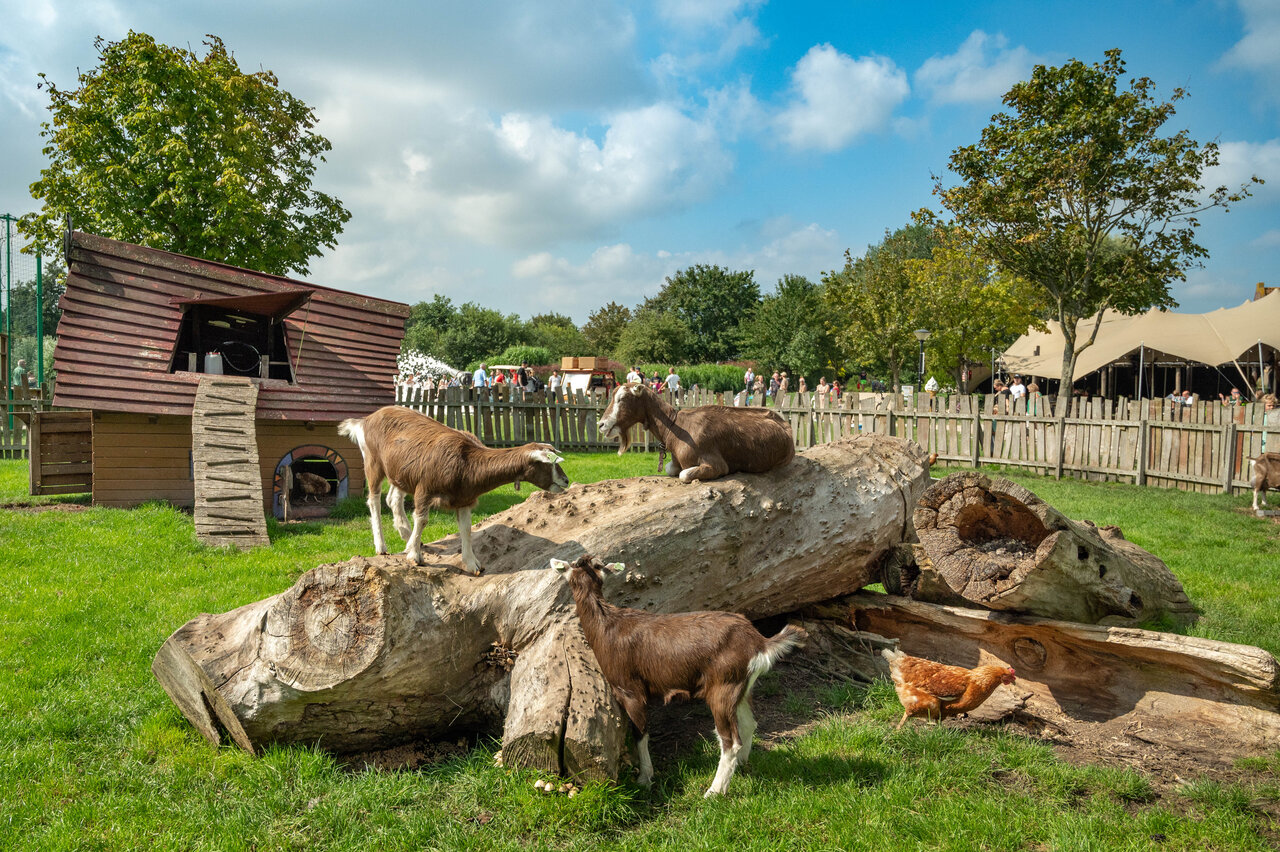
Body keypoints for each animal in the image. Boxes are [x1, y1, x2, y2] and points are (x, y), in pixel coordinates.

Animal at [340, 406, 569, 574]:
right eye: (548, 463)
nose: (566, 481)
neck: (467, 462)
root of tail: (366, 420)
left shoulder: (464, 499)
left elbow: (466, 529)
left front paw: (472, 564)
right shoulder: (424, 489)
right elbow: (422, 519)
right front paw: (415, 556)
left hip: (400, 472)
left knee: (393, 498)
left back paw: (406, 533)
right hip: (373, 463)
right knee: (374, 501)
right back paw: (382, 546)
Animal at [552, 554, 807, 796]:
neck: (607, 624)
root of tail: (759, 642)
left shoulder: (630, 690)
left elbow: (640, 733)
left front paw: (644, 778)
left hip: (722, 687)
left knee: (730, 740)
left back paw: (714, 791)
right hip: (742, 688)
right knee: (749, 724)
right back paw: (742, 766)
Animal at [596, 383, 794, 482]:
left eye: (622, 398)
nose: (601, 424)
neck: (675, 426)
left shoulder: (715, 463)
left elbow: (684, 474)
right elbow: (670, 469)